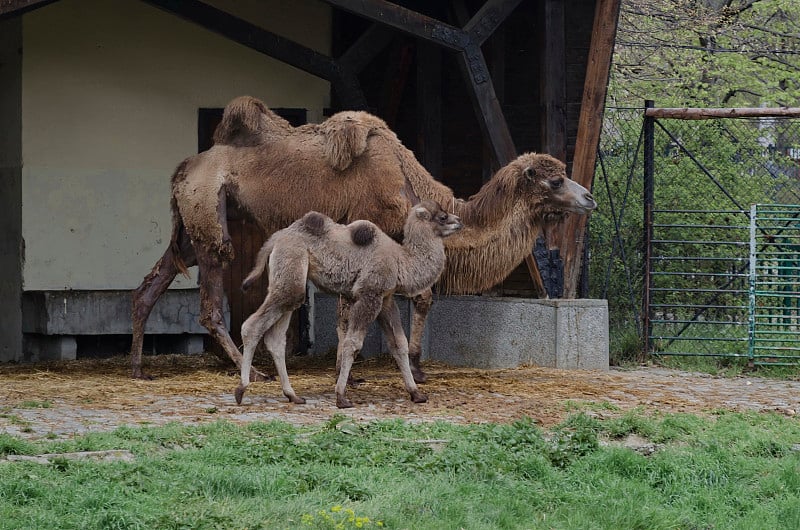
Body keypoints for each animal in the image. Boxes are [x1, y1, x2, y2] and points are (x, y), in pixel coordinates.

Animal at [234, 200, 462, 406]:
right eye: (442, 217)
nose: (459, 221)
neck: (401, 261)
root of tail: (275, 239)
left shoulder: (386, 299)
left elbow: (399, 344)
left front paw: (416, 393)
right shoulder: (369, 294)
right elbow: (352, 343)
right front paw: (341, 396)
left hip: (290, 281)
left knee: (276, 338)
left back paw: (293, 395)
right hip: (290, 268)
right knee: (251, 326)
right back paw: (241, 390)